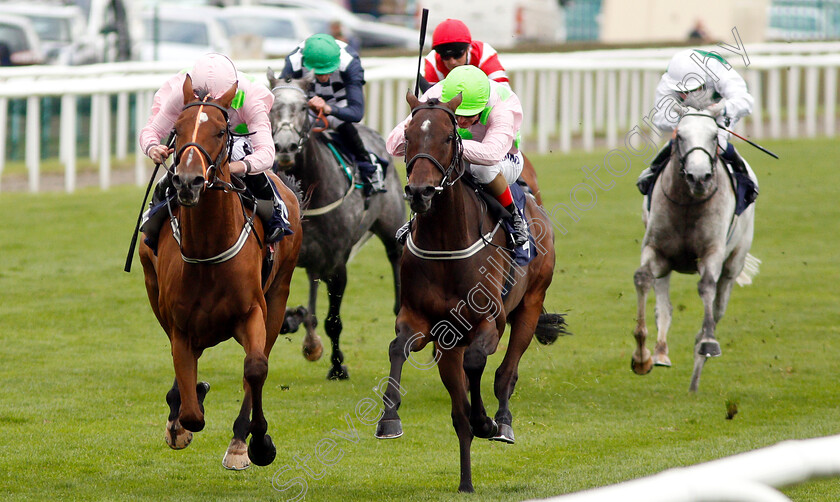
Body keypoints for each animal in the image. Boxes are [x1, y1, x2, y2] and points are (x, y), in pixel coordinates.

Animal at [264, 68, 406, 378]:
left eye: (304, 107)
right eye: (271, 106)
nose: (284, 146)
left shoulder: (337, 263)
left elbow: (333, 321)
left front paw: (338, 367)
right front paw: (299, 322)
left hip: (390, 227)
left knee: (396, 256)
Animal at [378, 92, 568, 492]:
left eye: (449, 137)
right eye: (408, 135)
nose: (419, 192)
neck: (446, 244)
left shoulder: (489, 322)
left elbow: (478, 363)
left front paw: (487, 422)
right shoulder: (423, 322)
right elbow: (398, 348)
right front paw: (389, 419)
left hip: (530, 305)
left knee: (506, 374)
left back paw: (503, 423)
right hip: (448, 345)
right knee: (457, 413)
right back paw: (466, 481)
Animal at [632, 109, 760, 392]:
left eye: (713, 136)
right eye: (680, 135)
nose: (699, 177)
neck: (688, 204)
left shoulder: (712, 252)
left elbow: (706, 288)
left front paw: (708, 343)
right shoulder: (656, 251)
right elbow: (643, 279)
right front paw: (642, 356)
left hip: (734, 264)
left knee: (717, 307)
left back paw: (696, 372)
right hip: (666, 266)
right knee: (664, 304)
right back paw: (661, 352)